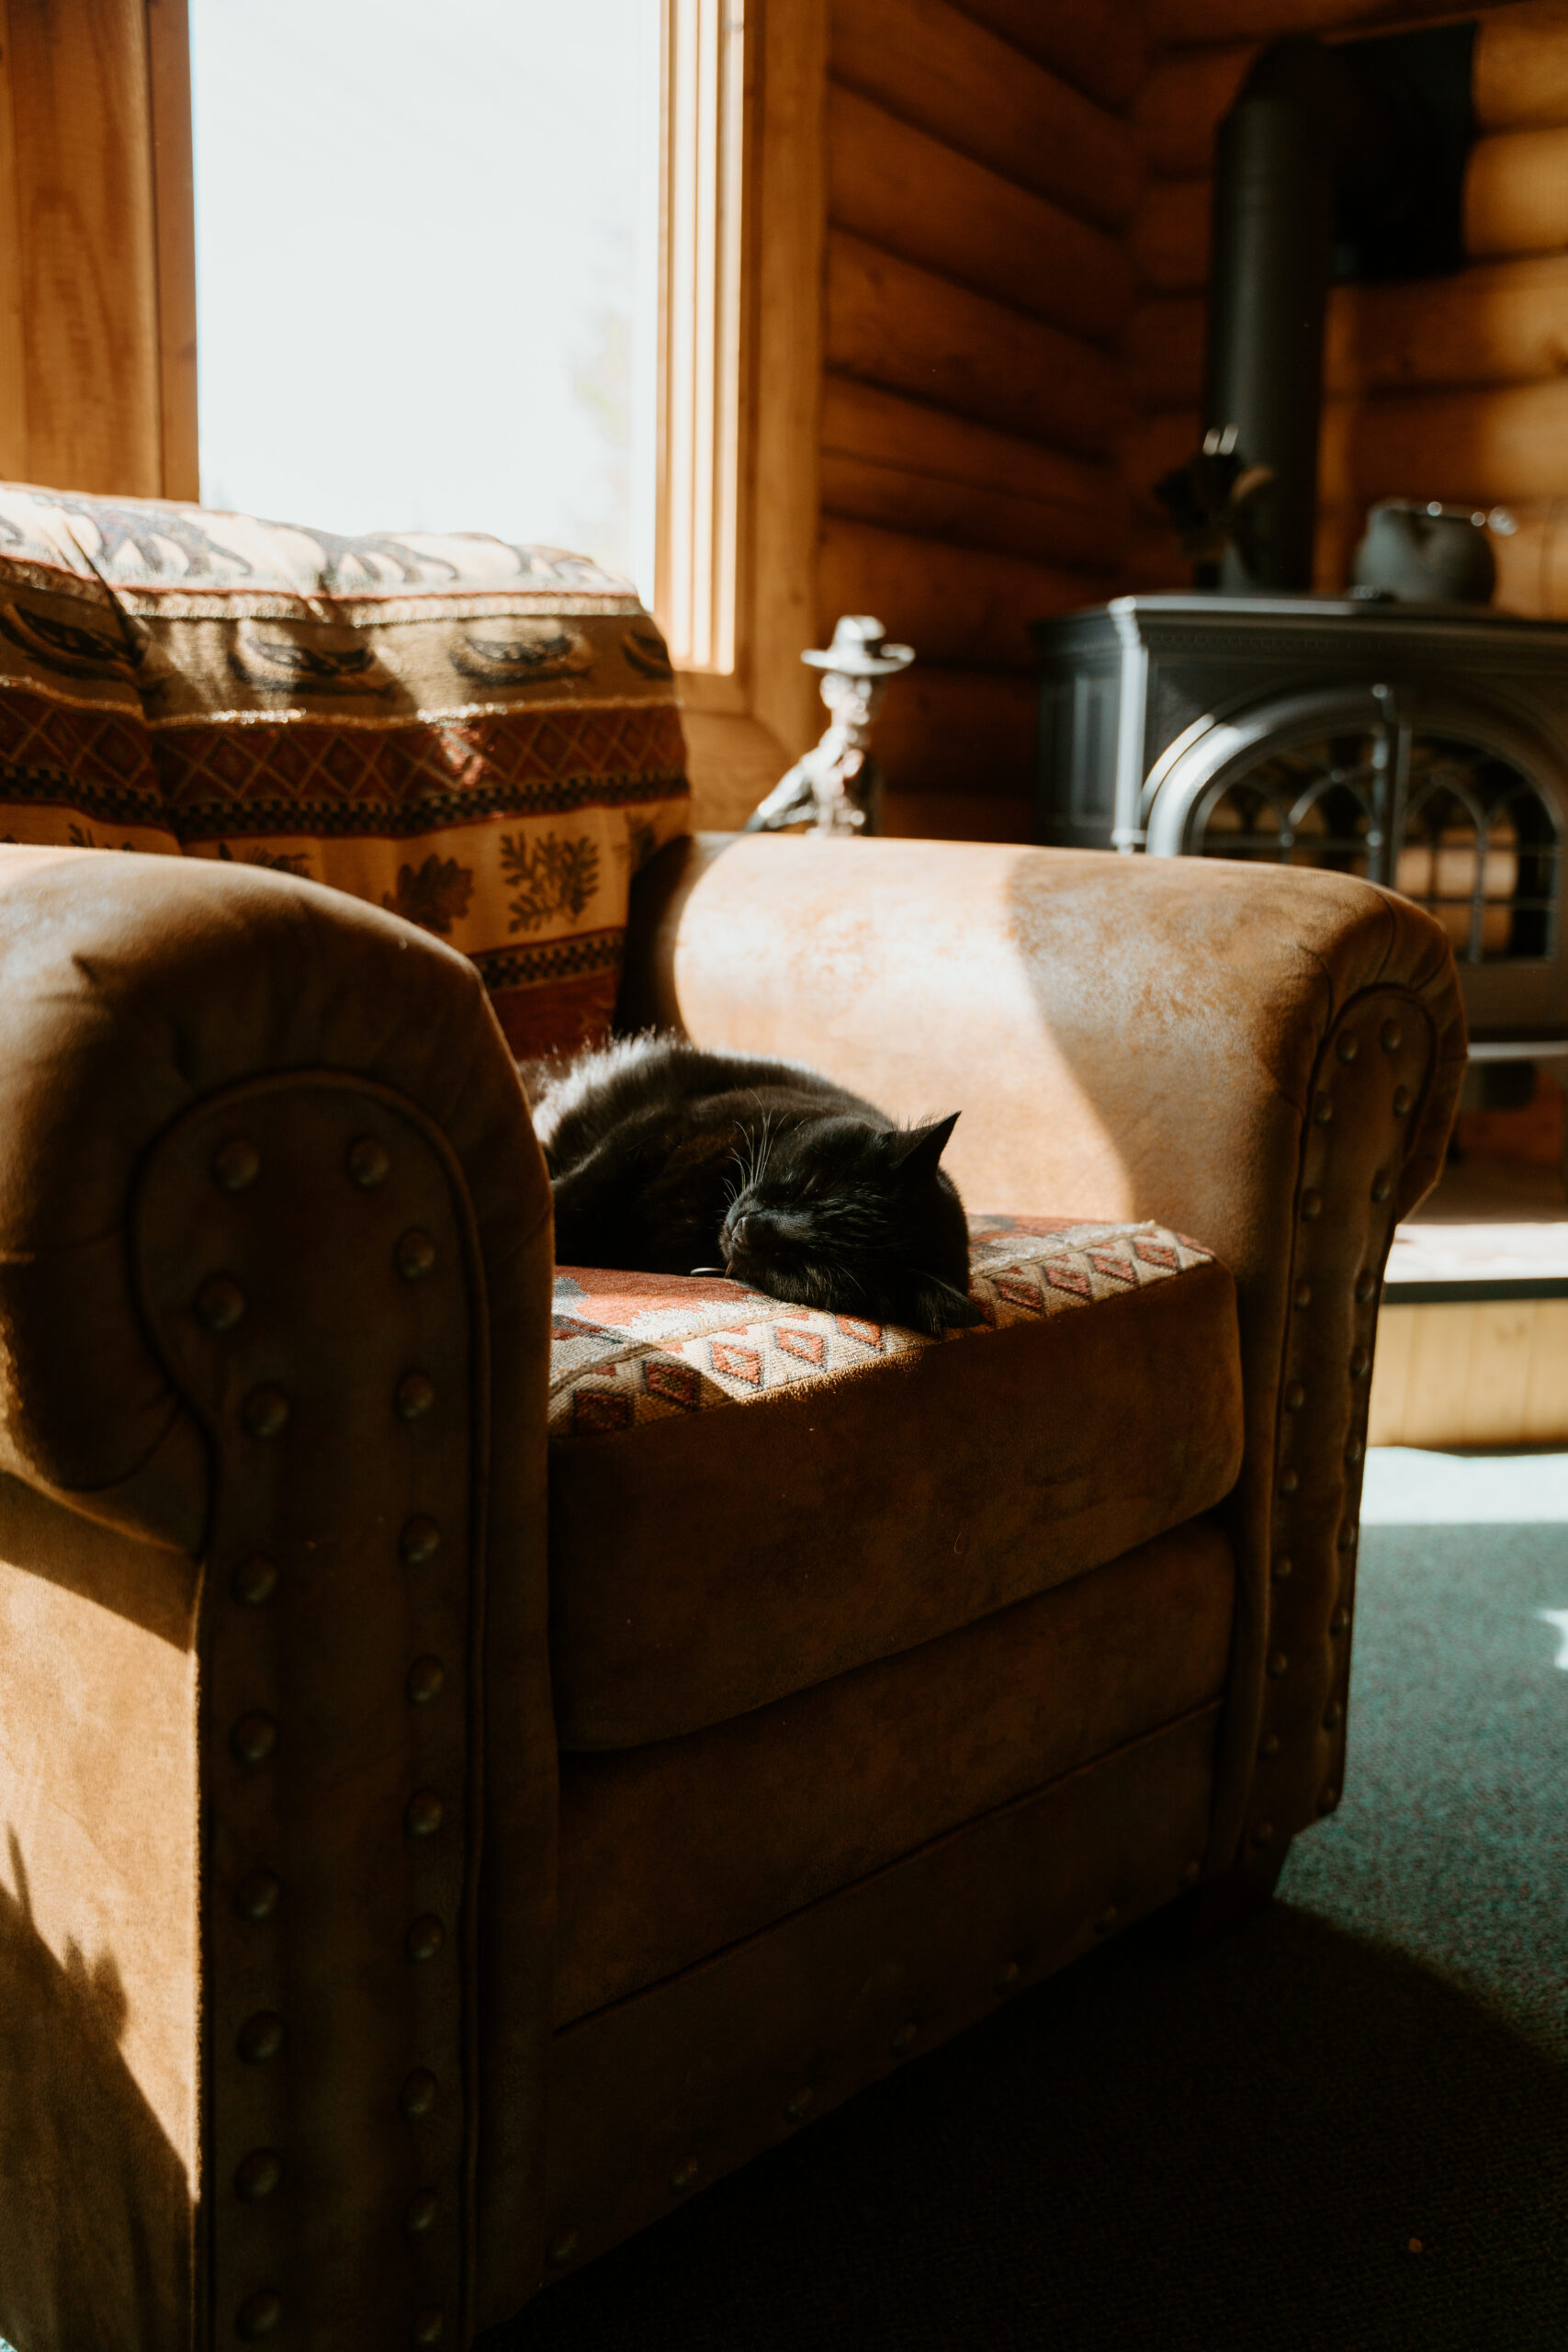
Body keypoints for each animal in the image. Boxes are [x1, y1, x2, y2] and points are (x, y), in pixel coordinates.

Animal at [526, 1035, 982, 1345]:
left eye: (811, 1266)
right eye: (809, 1186)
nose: (749, 1228)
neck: (706, 1207)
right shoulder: (651, 1134)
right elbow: (573, 1193)